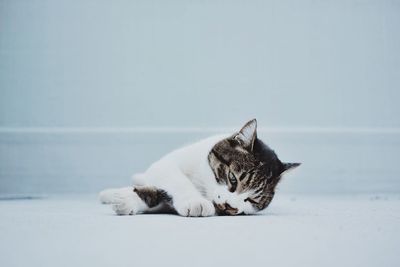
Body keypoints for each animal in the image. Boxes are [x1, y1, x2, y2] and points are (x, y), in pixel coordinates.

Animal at [99, 120, 300, 217]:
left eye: (252, 200)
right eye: (233, 179)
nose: (231, 207)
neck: (202, 181)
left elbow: (159, 196)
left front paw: (127, 199)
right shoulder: (165, 165)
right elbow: (175, 180)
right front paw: (194, 201)